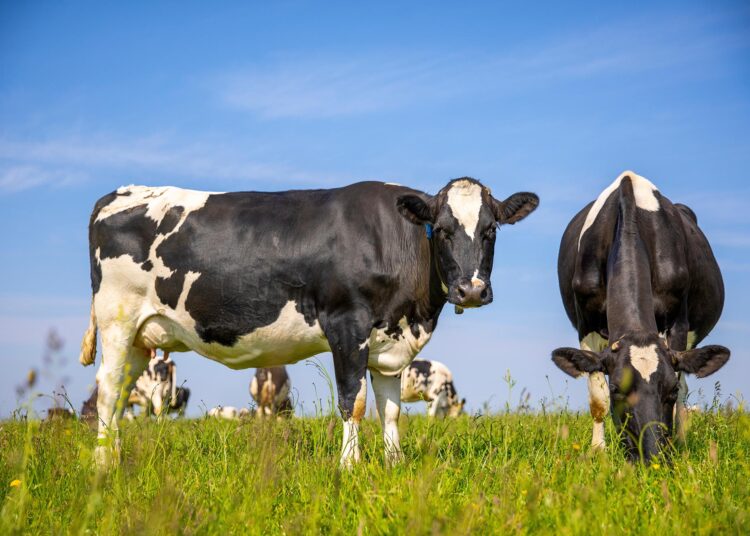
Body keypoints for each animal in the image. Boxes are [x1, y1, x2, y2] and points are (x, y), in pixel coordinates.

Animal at [79, 178, 538, 468]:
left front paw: (395, 464)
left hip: (142, 338)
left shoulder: (390, 339)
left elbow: (390, 409)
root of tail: (119, 193)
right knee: (107, 391)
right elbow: (353, 401)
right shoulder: (347, 325)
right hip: (118, 319)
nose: (471, 290)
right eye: (441, 229)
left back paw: (115, 455)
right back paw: (102, 464)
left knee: (120, 396)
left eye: (491, 230)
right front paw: (350, 466)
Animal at [552, 171, 729, 462]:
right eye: (617, 389)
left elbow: (681, 388)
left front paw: (675, 446)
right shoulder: (585, 324)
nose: (653, 456)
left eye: (670, 389)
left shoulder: (677, 322)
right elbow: (597, 397)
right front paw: (598, 451)